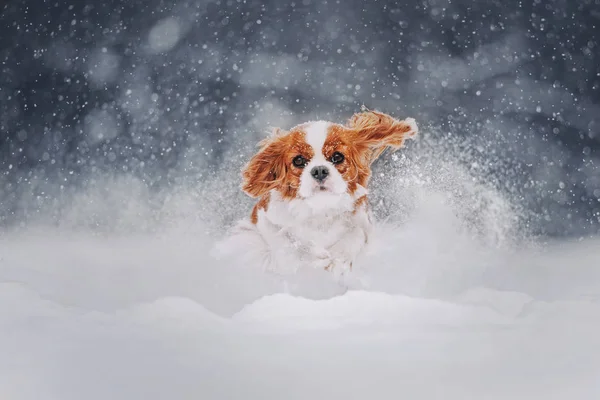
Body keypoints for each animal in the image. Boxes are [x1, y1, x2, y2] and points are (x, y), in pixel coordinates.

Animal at [216, 111, 418, 276]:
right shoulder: (264, 216)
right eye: (298, 160)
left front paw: (337, 261)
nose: (319, 170)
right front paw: (299, 264)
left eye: (337, 157)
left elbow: (356, 234)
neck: (320, 210)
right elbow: (281, 243)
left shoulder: (363, 221)